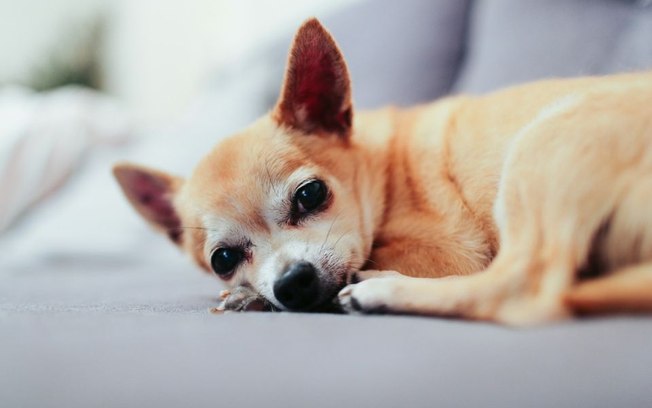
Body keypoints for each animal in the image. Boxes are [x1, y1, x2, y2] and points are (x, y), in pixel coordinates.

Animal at [113, 18, 652, 326]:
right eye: (222, 259)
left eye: (310, 195)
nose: (291, 283)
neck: (383, 169)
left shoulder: (451, 253)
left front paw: (253, 298)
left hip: (547, 141)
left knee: (522, 288)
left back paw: (380, 289)